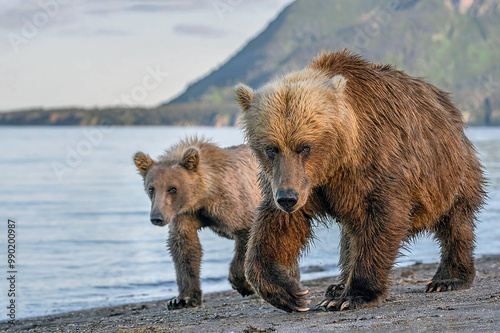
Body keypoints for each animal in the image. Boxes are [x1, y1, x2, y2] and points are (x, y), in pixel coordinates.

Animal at [234, 49, 484, 312]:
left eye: (305, 147)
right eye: (271, 148)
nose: (288, 198)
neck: (335, 162)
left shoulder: (376, 160)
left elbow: (383, 219)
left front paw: (354, 295)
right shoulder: (298, 183)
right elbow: (278, 227)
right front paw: (290, 293)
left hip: (448, 172)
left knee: (455, 222)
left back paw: (447, 279)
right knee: (349, 236)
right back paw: (337, 284)